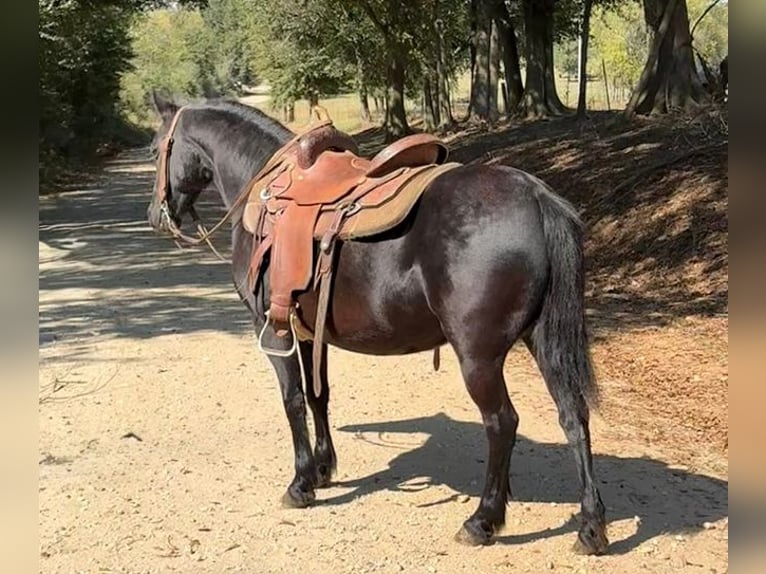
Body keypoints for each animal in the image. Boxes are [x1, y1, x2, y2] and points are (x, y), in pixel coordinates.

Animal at [145, 93, 608, 554]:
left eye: (154, 150)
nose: (155, 216)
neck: (263, 190)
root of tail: (536, 196)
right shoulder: (312, 335)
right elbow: (318, 396)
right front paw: (324, 468)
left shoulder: (275, 330)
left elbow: (293, 400)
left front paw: (300, 483)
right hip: (543, 340)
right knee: (573, 415)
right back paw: (591, 527)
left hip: (479, 357)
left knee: (502, 424)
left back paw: (482, 520)